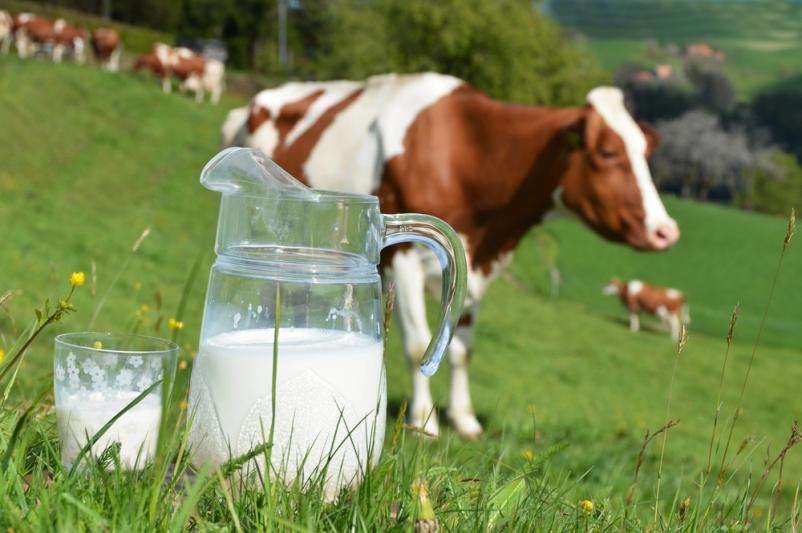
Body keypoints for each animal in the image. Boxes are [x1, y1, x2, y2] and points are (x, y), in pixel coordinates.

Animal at [228, 72, 680, 438]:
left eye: (645, 153)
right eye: (607, 152)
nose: (666, 231)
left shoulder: (473, 265)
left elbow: (461, 348)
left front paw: (464, 419)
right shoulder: (405, 257)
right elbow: (418, 346)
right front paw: (423, 421)